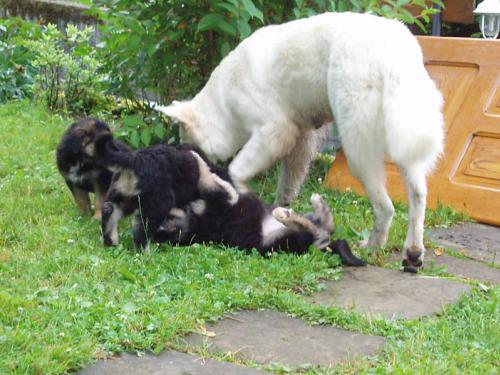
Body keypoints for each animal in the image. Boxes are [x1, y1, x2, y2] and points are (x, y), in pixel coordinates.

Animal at [158, 153, 366, 268]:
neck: (192, 220)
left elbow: (209, 182)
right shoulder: (221, 202)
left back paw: (318, 205)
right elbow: (210, 182)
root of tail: (322, 245)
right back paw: (289, 214)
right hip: (276, 243)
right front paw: (196, 157)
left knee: (325, 225)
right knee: (309, 229)